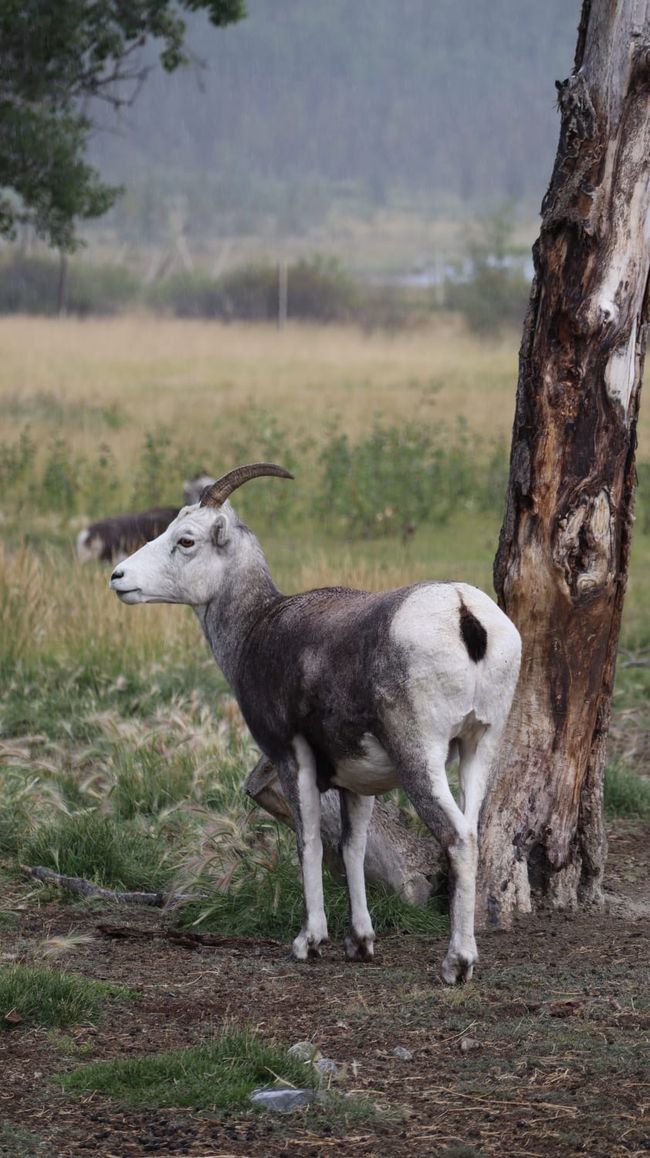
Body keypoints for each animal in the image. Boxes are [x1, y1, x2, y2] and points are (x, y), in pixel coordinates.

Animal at [109, 463, 521, 983]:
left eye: (186, 540)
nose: (118, 577)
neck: (259, 626)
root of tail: (463, 610)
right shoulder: (358, 784)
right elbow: (352, 848)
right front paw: (360, 943)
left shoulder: (291, 758)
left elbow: (308, 842)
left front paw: (309, 942)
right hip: (479, 746)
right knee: (475, 830)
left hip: (420, 757)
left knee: (459, 838)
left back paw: (456, 964)